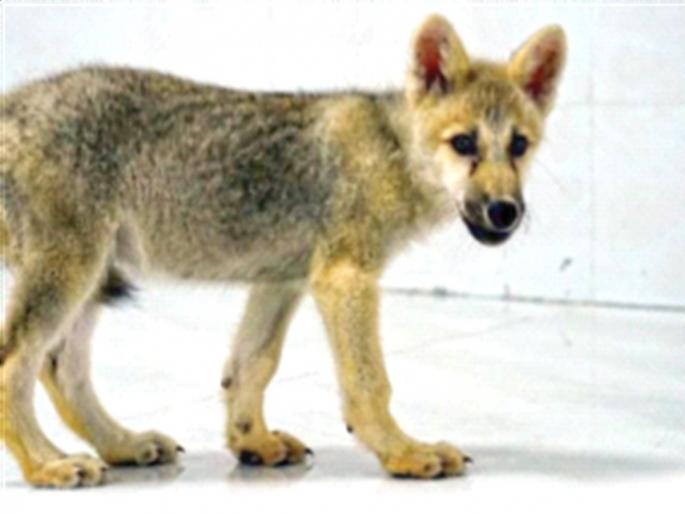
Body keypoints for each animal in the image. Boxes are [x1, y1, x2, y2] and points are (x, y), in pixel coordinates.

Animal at [0, 15, 566, 486]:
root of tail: (12, 103)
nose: (505, 212)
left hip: (92, 278)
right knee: (15, 367)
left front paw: (251, 442)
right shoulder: (345, 279)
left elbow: (251, 366)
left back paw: (121, 445)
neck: (392, 151)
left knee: (58, 369)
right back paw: (48, 465)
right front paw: (403, 452)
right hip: (71, 272)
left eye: (519, 146)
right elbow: (369, 385)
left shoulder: (282, 279)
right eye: (465, 144)